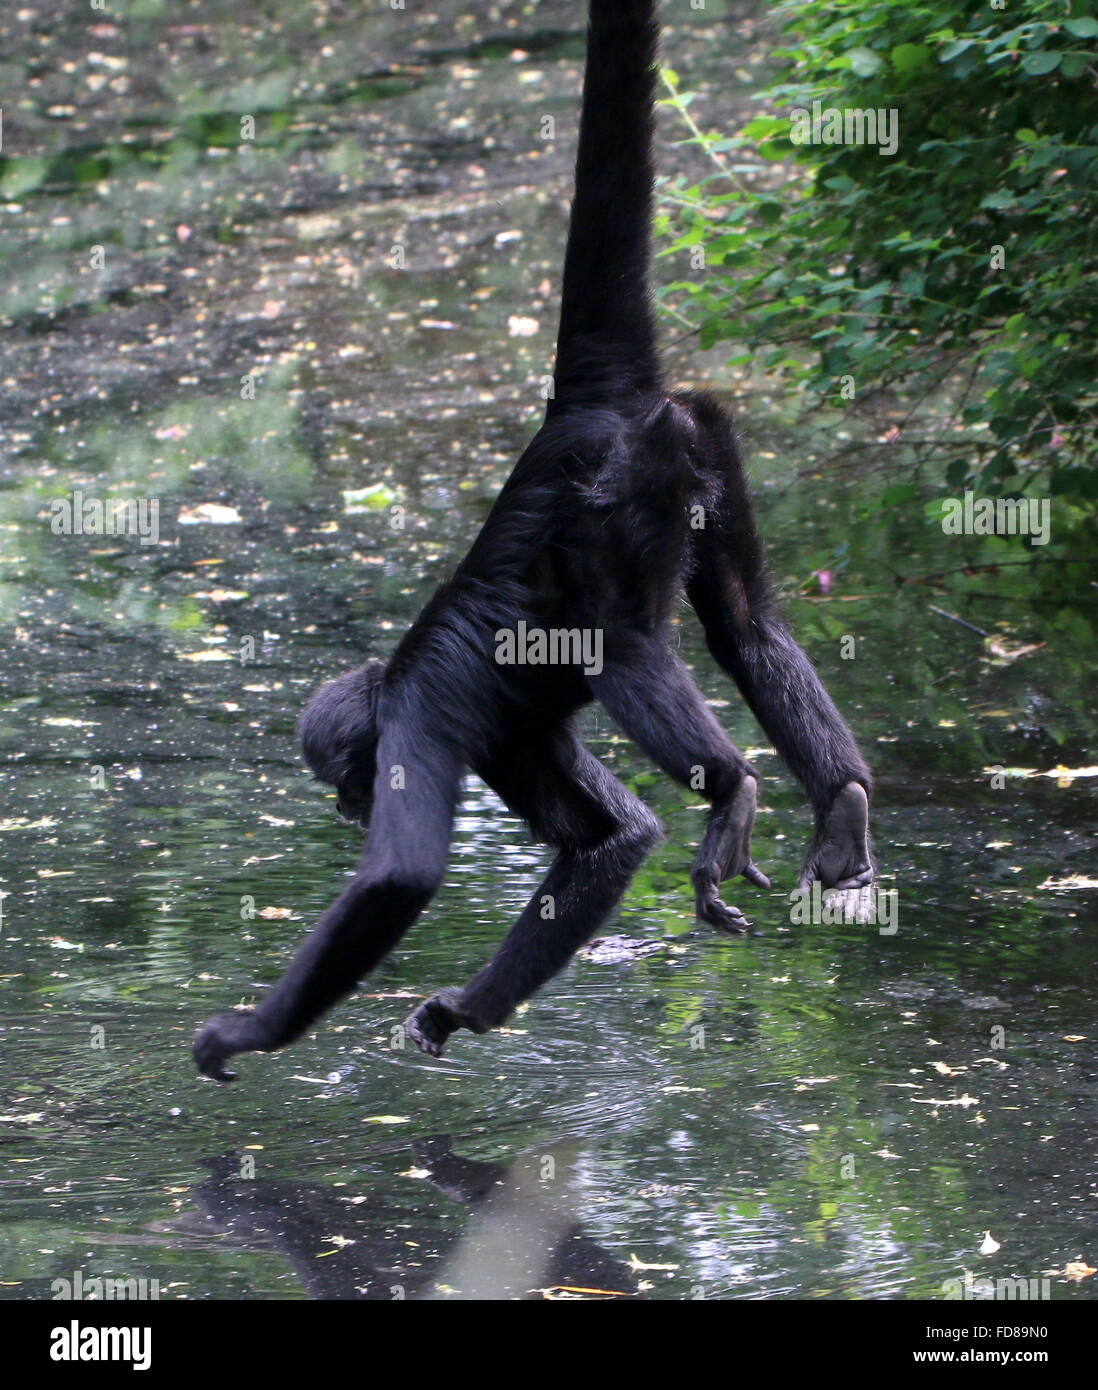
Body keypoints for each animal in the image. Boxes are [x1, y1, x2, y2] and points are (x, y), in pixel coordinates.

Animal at [197, 0, 878, 1078]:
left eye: (344, 777)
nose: (344, 807)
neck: (392, 676)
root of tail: (581, 410)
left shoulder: (424, 718)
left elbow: (401, 874)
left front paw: (246, 1031)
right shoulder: (515, 741)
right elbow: (613, 839)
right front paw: (458, 1012)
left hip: (621, 498)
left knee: (622, 645)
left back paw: (734, 789)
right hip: (702, 445)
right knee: (745, 622)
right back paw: (841, 798)